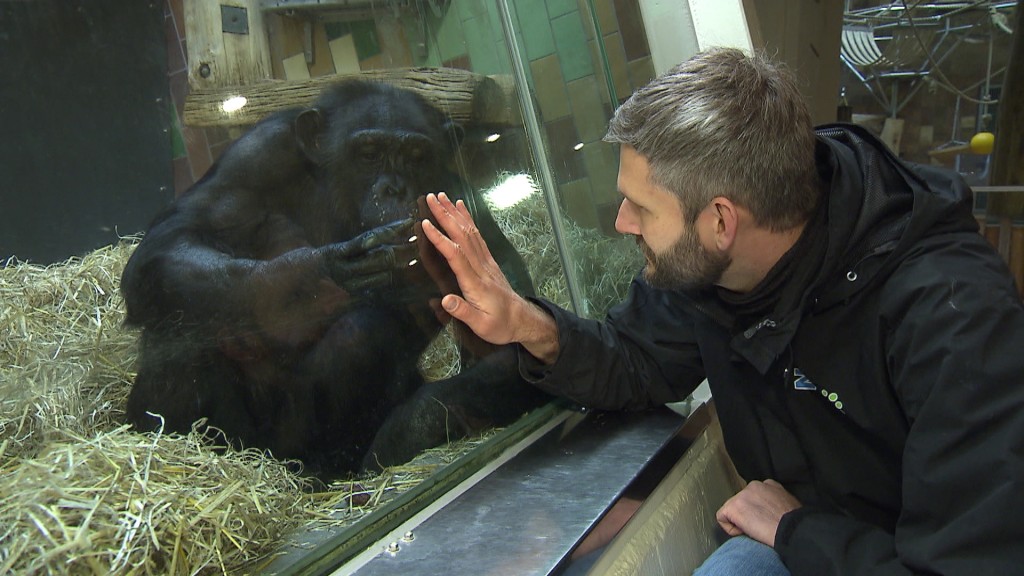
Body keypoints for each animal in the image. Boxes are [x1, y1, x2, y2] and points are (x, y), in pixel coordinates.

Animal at [120, 79, 548, 475]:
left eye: (415, 157)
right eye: (369, 154)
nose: (394, 188)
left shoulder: (454, 192)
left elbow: (506, 331)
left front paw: (407, 430)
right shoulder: (256, 155)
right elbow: (174, 238)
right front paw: (322, 276)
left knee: (362, 332)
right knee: (181, 315)